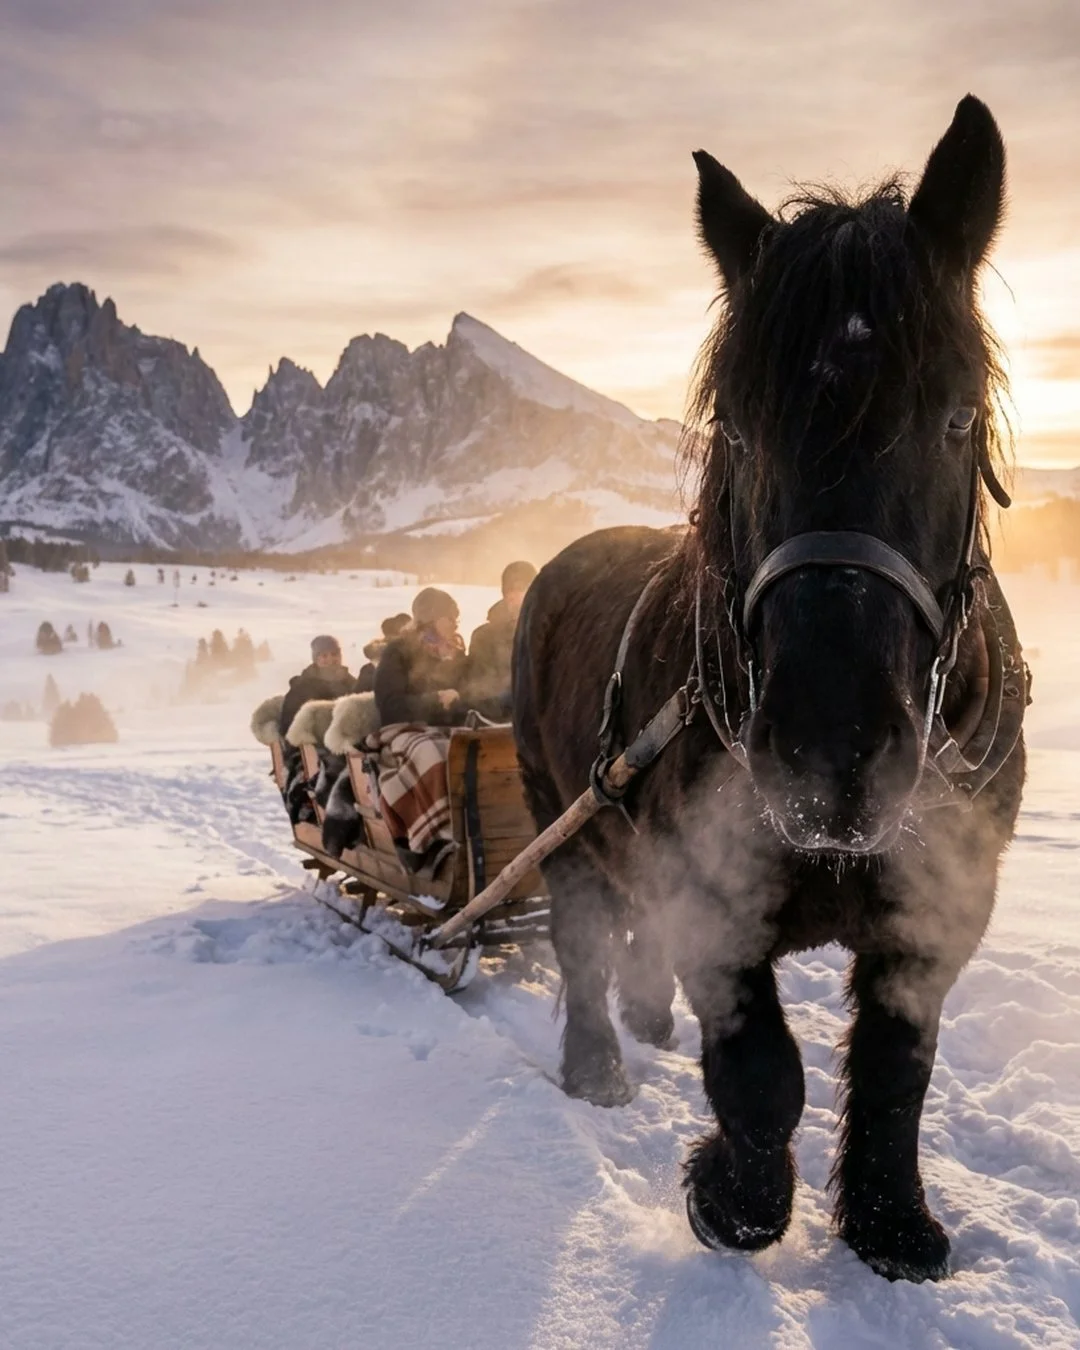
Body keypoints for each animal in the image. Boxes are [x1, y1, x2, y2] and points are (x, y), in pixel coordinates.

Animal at [511, 96, 1028, 1284]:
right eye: (738, 426)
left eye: (954, 417)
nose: (830, 749)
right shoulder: (715, 895)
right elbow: (761, 1076)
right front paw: (731, 1199)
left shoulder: (941, 906)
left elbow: (894, 1069)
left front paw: (892, 1227)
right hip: (556, 810)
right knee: (581, 931)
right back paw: (600, 1067)